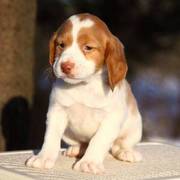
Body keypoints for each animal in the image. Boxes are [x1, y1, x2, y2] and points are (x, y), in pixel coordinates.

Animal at [26, 13, 143, 174]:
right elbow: (51, 137)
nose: (65, 66)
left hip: (135, 126)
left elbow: (98, 140)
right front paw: (43, 158)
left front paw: (89, 162)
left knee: (118, 145)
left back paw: (126, 152)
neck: (83, 86)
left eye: (88, 48)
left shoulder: (111, 119)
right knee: (81, 143)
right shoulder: (57, 111)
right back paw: (76, 149)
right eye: (61, 45)